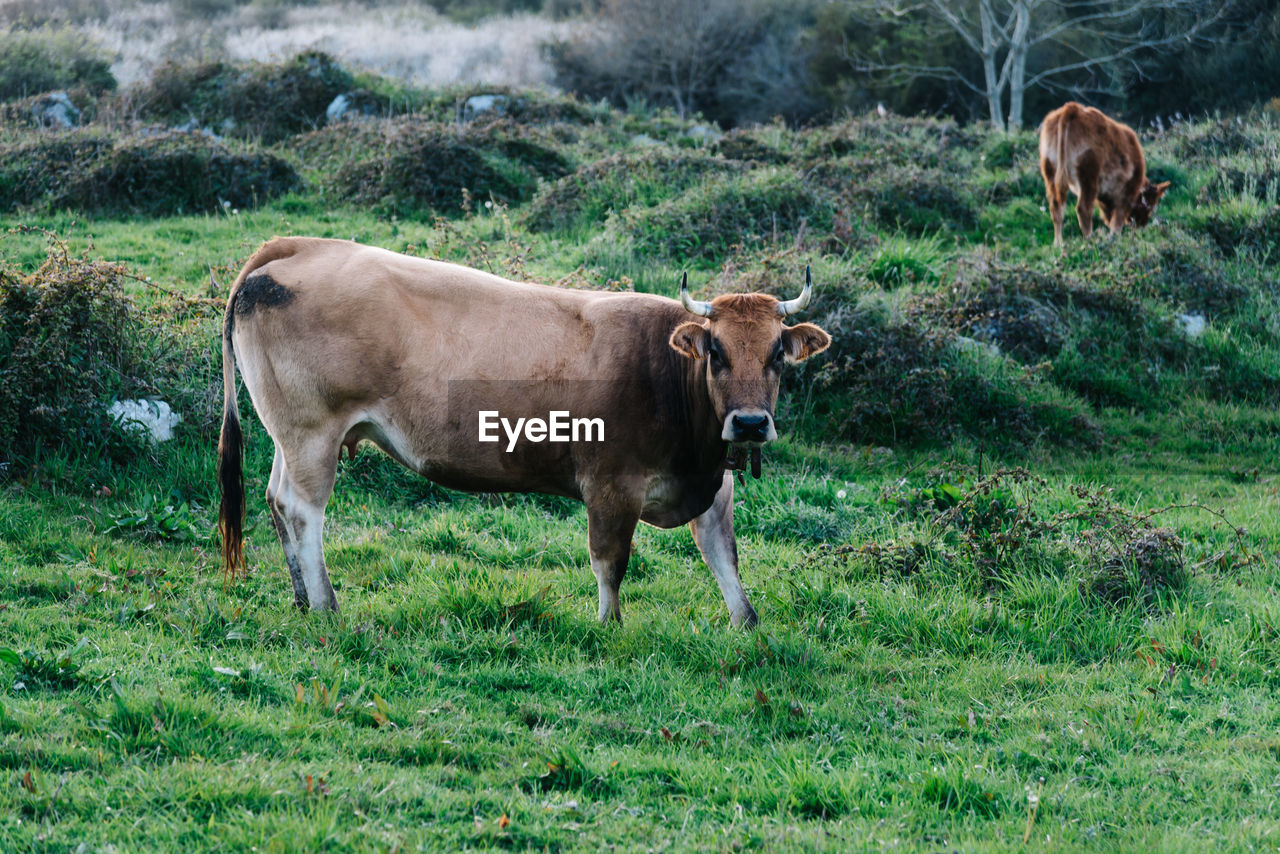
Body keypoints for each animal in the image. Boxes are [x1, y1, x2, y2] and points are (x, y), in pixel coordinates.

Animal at [218, 236, 829, 632]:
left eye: (777, 353)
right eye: (717, 352)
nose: (749, 423)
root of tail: (299, 245)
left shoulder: (712, 486)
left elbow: (724, 556)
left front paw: (748, 624)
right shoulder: (611, 486)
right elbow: (610, 561)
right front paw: (610, 626)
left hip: (290, 435)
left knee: (276, 501)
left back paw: (302, 599)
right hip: (313, 432)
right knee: (303, 510)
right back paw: (325, 606)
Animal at [1039, 101, 1172, 247]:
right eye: (1150, 206)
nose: (1142, 226)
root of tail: (1072, 108)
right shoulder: (1125, 194)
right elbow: (1116, 222)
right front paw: (1114, 239)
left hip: (1050, 171)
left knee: (1056, 207)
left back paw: (1058, 243)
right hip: (1088, 176)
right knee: (1083, 209)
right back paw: (1090, 241)